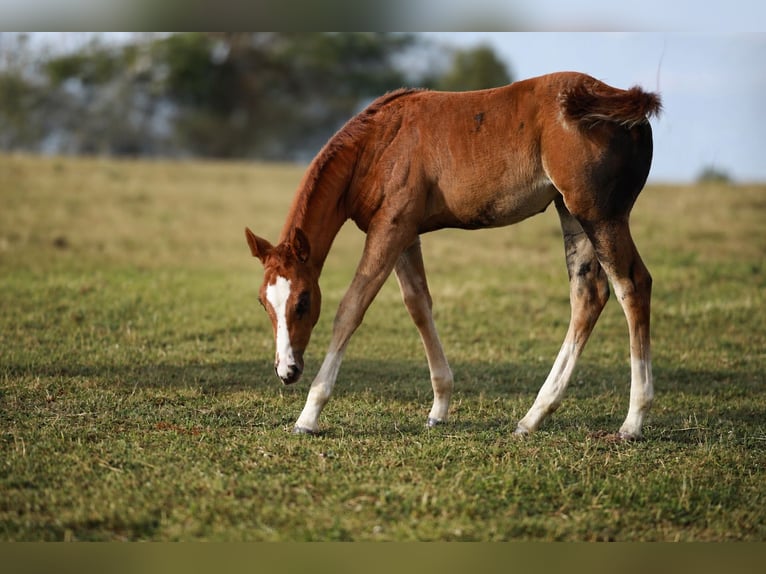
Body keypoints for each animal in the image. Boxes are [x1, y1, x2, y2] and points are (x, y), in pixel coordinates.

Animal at [245, 71, 661, 439]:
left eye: (303, 301)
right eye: (263, 302)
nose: (287, 371)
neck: (377, 144)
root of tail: (618, 99)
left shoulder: (390, 229)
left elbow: (351, 308)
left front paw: (308, 415)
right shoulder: (404, 234)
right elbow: (418, 305)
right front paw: (439, 408)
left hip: (600, 215)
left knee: (632, 285)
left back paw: (633, 422)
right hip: (571, 214)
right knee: (588, 296)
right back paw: (533, 417)